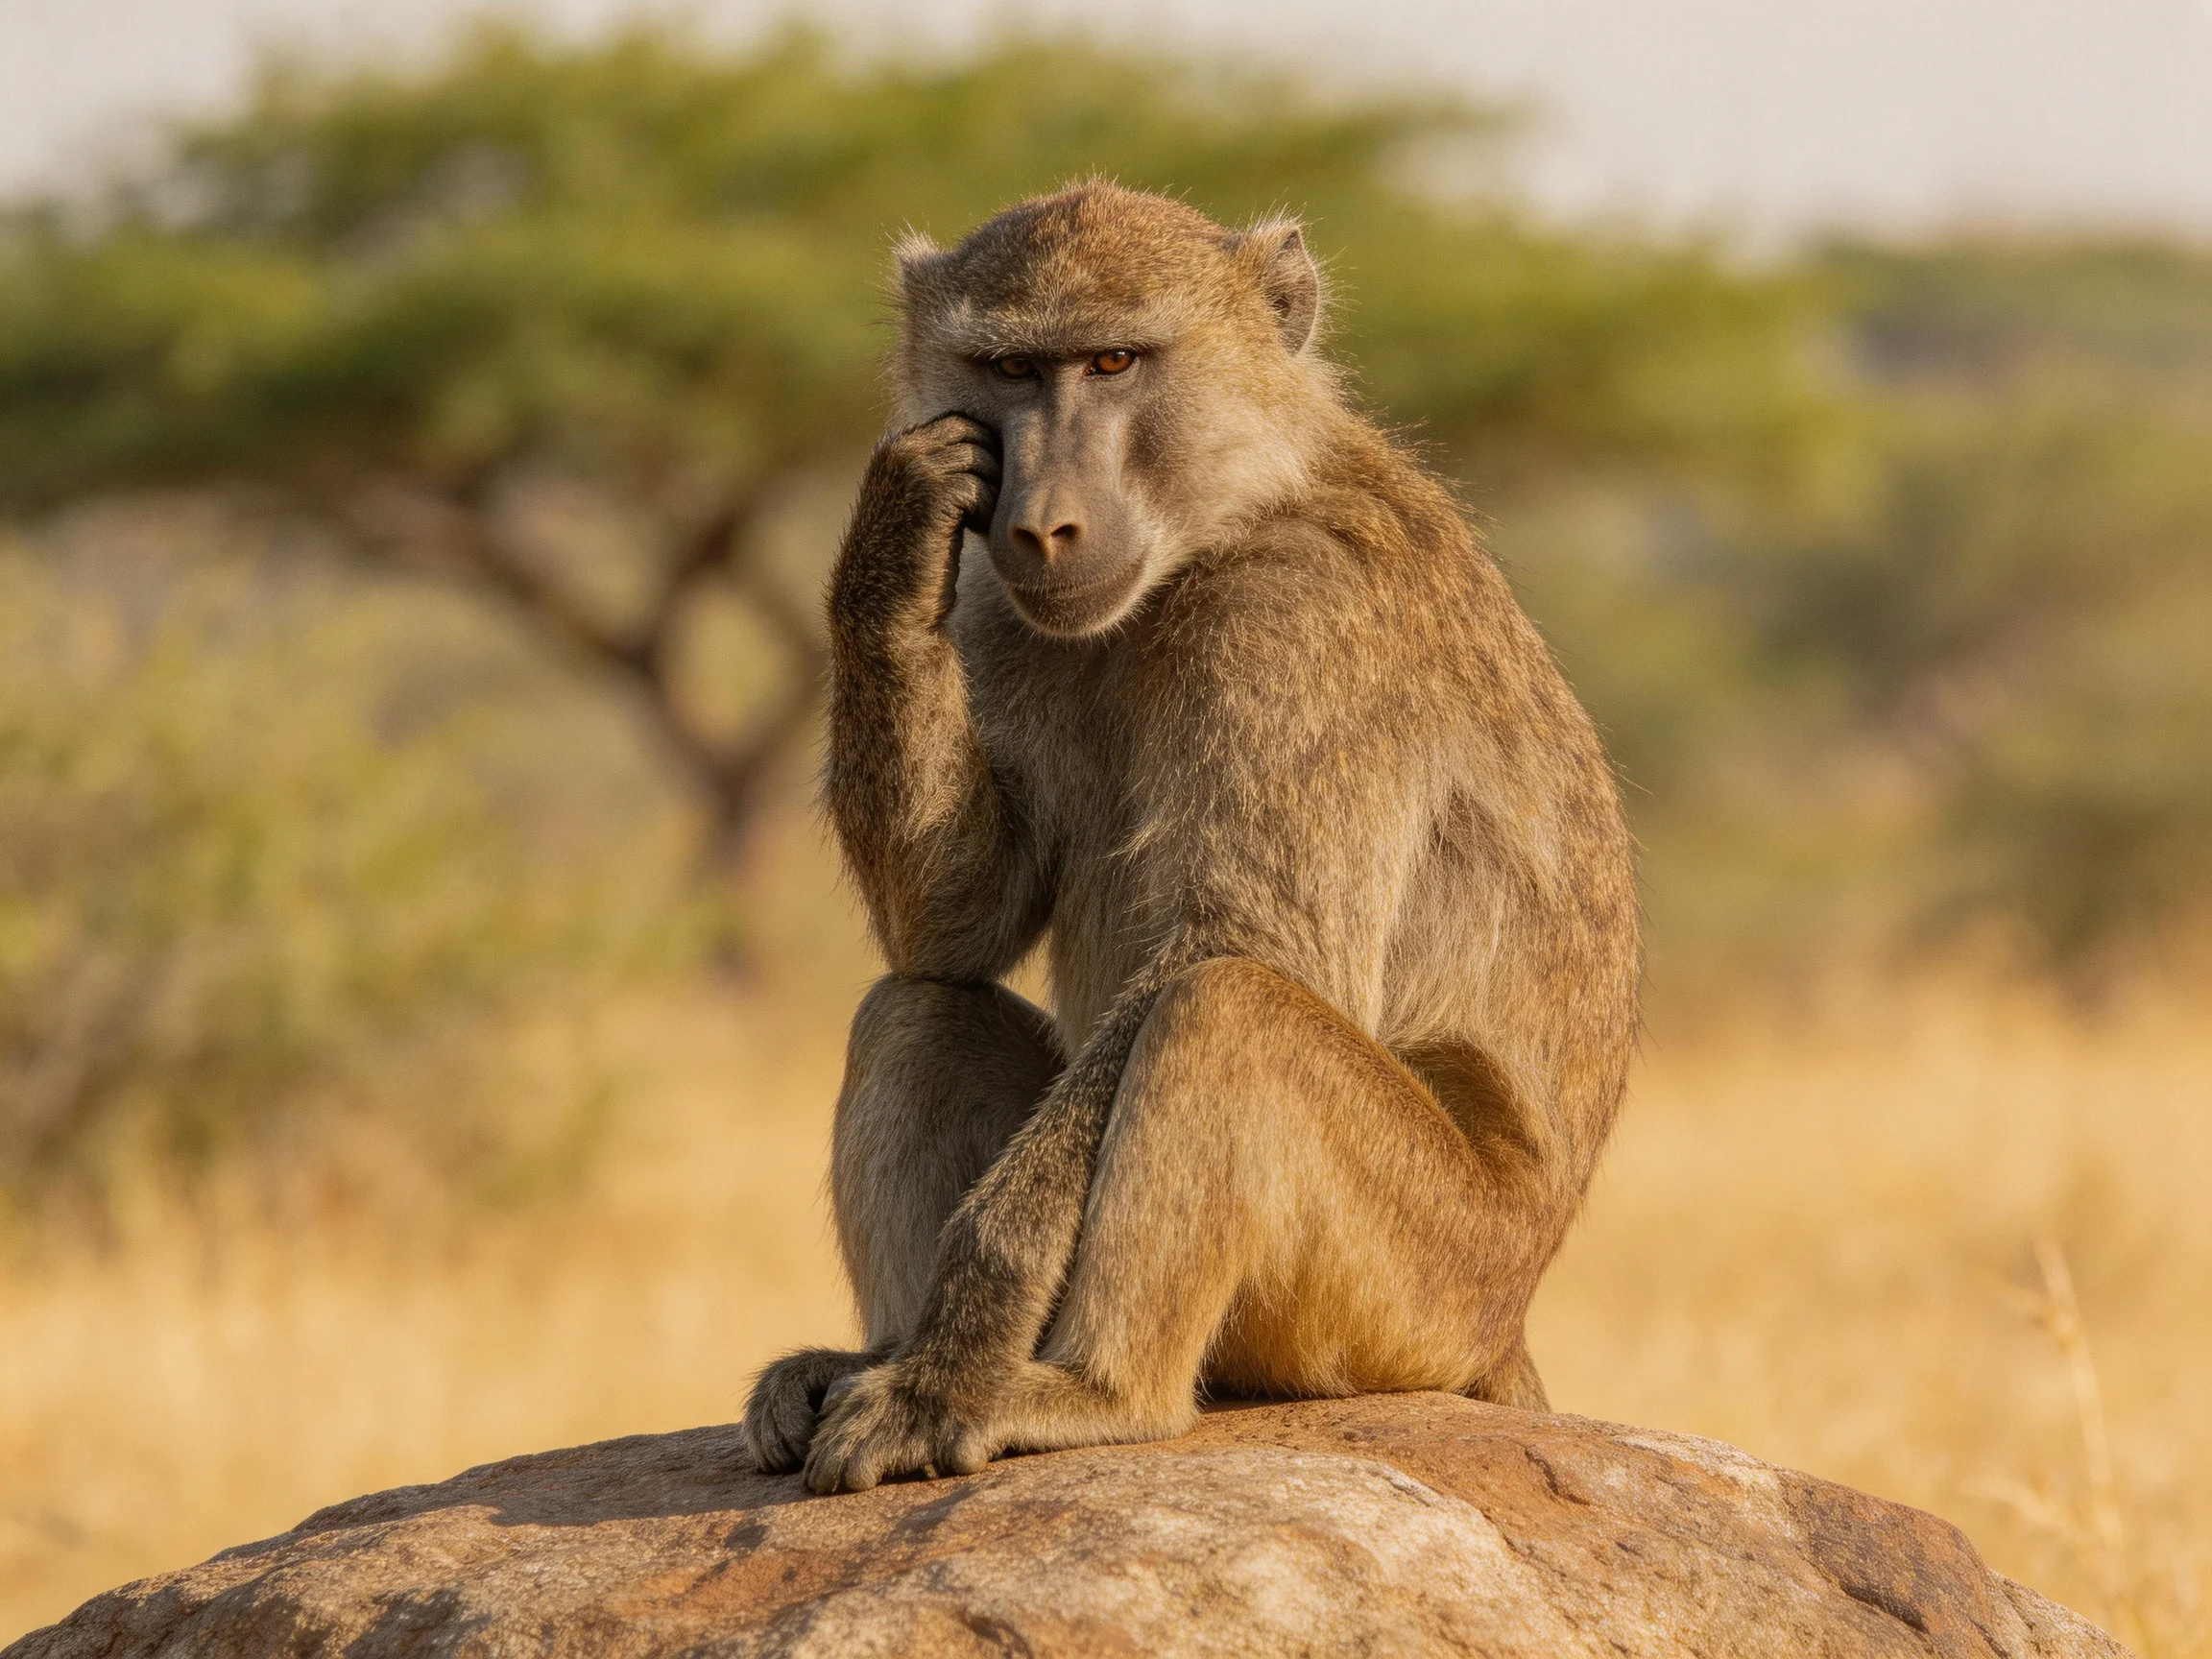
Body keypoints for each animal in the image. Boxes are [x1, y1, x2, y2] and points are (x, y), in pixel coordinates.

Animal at [742, 182, 1639, 1495]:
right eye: (1012, 369)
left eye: (1115, 361)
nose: (1042, 527)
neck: (1221, 524)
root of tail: (1509, 1316)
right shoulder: (1002, 612)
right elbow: (957, 927)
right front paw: (896, 536)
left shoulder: (1303, 621)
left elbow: (1248, 945)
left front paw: (960, 1349)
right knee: (919, 1005)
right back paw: (875, 1357)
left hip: (1423, 1288)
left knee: (1229, 1010)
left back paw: (1082, 1394)